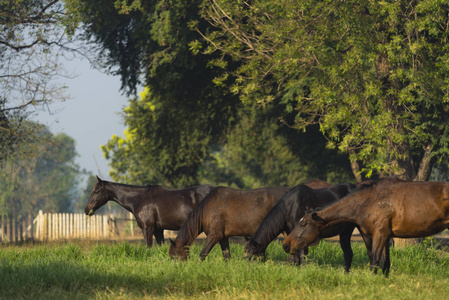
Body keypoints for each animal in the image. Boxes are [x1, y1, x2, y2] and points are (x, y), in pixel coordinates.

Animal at [86, 177, 216, 247]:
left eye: (97, 191)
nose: (87, 209)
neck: (140, 199)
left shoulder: (147, 228)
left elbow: (148, 246)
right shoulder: (158, 230)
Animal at [280, 178, 448, 276]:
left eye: (303, 224)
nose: (286, 244)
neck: (369, 200)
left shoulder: (380, 235)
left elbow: (374, 260)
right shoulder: (383, 236)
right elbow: (385, 264)